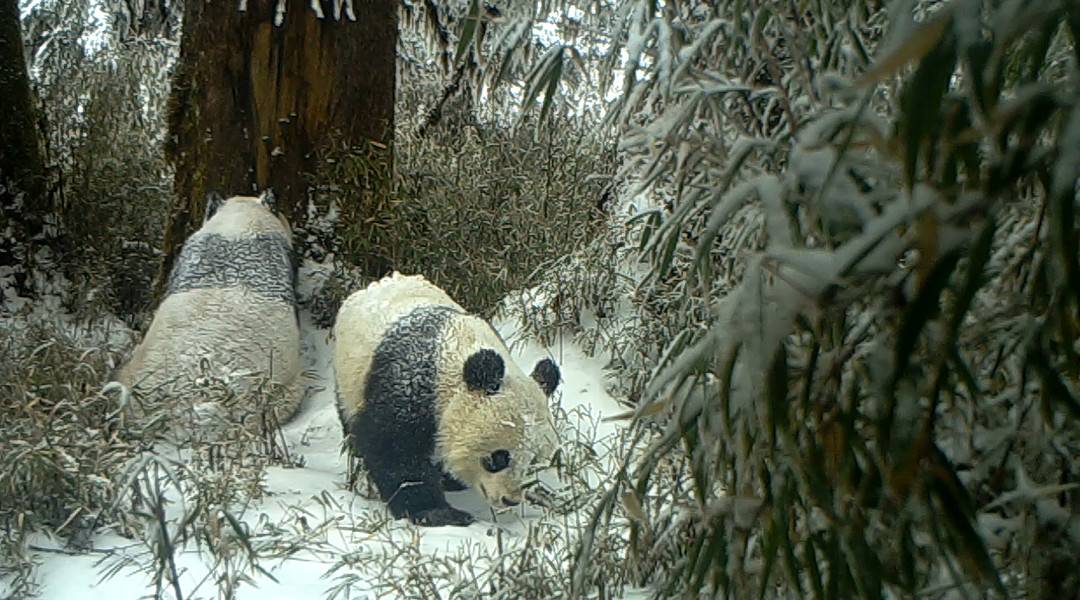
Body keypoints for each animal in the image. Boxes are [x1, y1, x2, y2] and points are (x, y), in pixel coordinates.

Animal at [332, 271, 561, 524]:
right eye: (499, 457)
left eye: (531, 460)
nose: (509, 499)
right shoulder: (406, 385)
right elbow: (395, 451)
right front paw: (438, 513)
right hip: (348, 380)